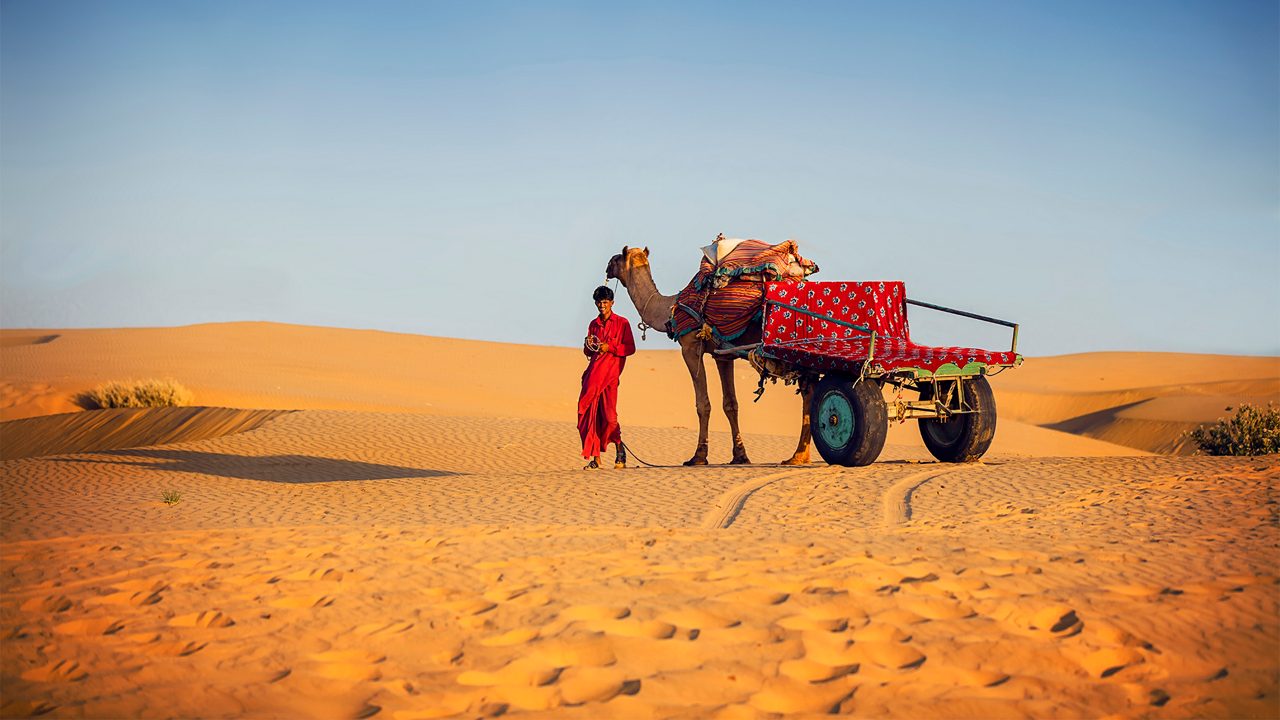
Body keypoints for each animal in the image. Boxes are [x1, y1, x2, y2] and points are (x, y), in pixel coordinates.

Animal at [604, 243, 814, 461]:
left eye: (616, 258)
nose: (607, 267)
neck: (669, 309)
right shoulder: (723, 354)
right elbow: (730, 404)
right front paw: (740, 455)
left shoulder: (690, 348)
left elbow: (702, 404)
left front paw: (699, 455)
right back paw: (800, 456)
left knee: (809, 395)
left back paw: (798, 456)